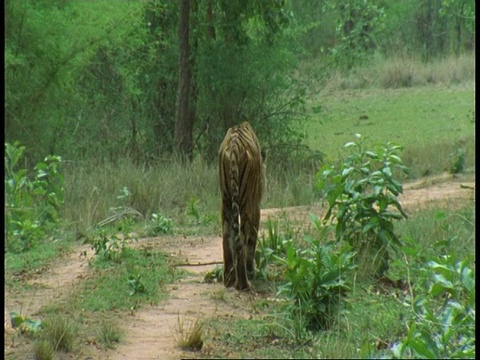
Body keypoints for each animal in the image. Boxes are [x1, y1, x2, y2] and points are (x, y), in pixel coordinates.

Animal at [218, 122, 262, 292]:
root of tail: (234, 144)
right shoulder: (256, 205)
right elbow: (252, 240)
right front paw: (252, 271)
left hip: (225, 201)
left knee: (226, 237)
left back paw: (229, 279)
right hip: (245, 205)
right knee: (242, 239)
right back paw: (244, 282)